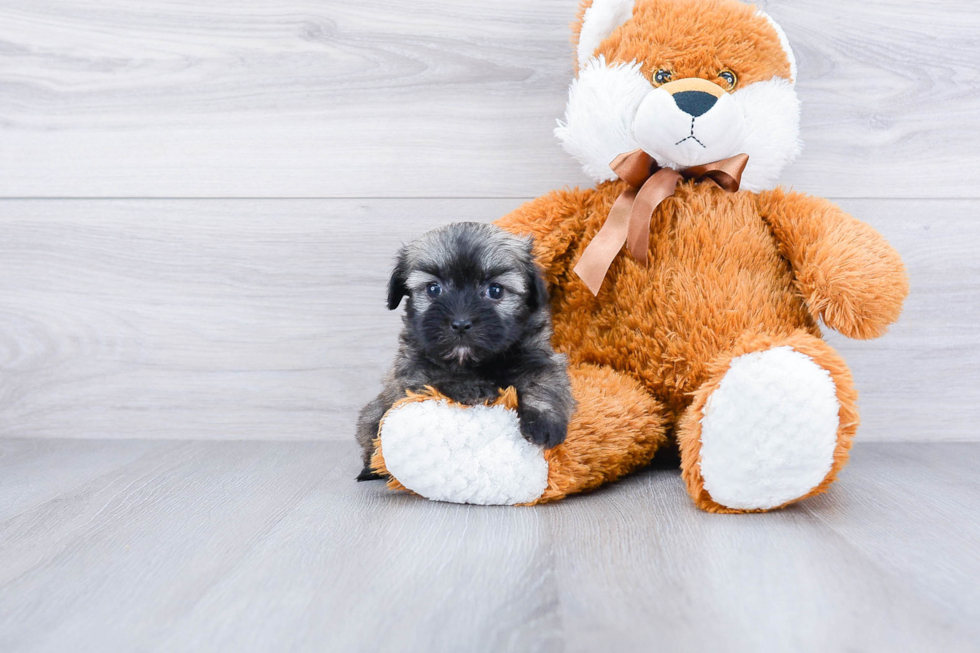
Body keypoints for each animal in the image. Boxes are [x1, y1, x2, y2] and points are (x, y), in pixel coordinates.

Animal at [356, 220, 576, 478]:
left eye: (495, 290)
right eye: (433, 289)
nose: (461, 324)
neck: (474, 362)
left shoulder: (541, 359)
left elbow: (544, 384)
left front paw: (544, 422)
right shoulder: (411, 372)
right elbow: (437, 377)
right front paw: (471, 388)